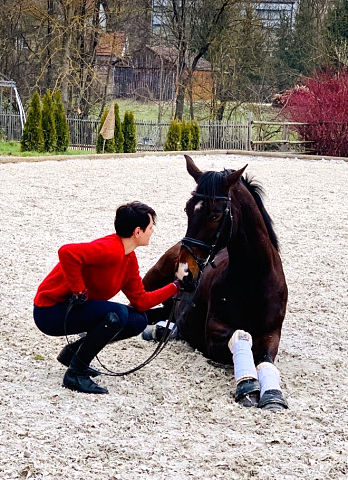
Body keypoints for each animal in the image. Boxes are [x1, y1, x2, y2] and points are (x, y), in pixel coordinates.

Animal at [142, 156, 288, 410]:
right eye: (188, 209)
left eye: (215, 214)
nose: (184, 271)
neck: (254, 281)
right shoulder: (213, 333)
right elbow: (241, 336)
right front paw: (247, 385)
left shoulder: (272, 332)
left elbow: (265, 359)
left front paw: (272, 395)